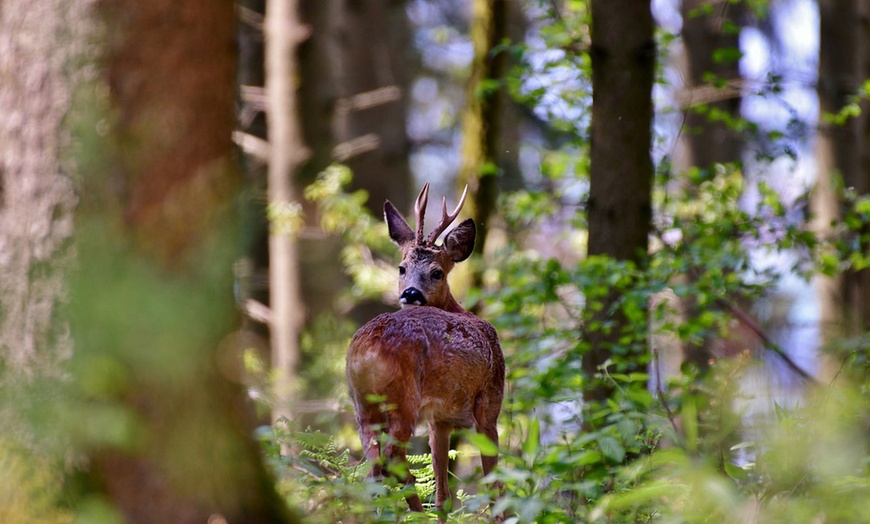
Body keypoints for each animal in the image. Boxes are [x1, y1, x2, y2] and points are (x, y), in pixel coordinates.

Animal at [348, 182, 508, 516]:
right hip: (404, 399)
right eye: (401, 268)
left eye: (437, 272)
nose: (410, 293)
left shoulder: (440, 419)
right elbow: (495, 485)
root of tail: (368, 352)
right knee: (391, 459)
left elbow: (443, 493)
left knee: (373, 467)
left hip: (363, 406)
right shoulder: (489, 401)